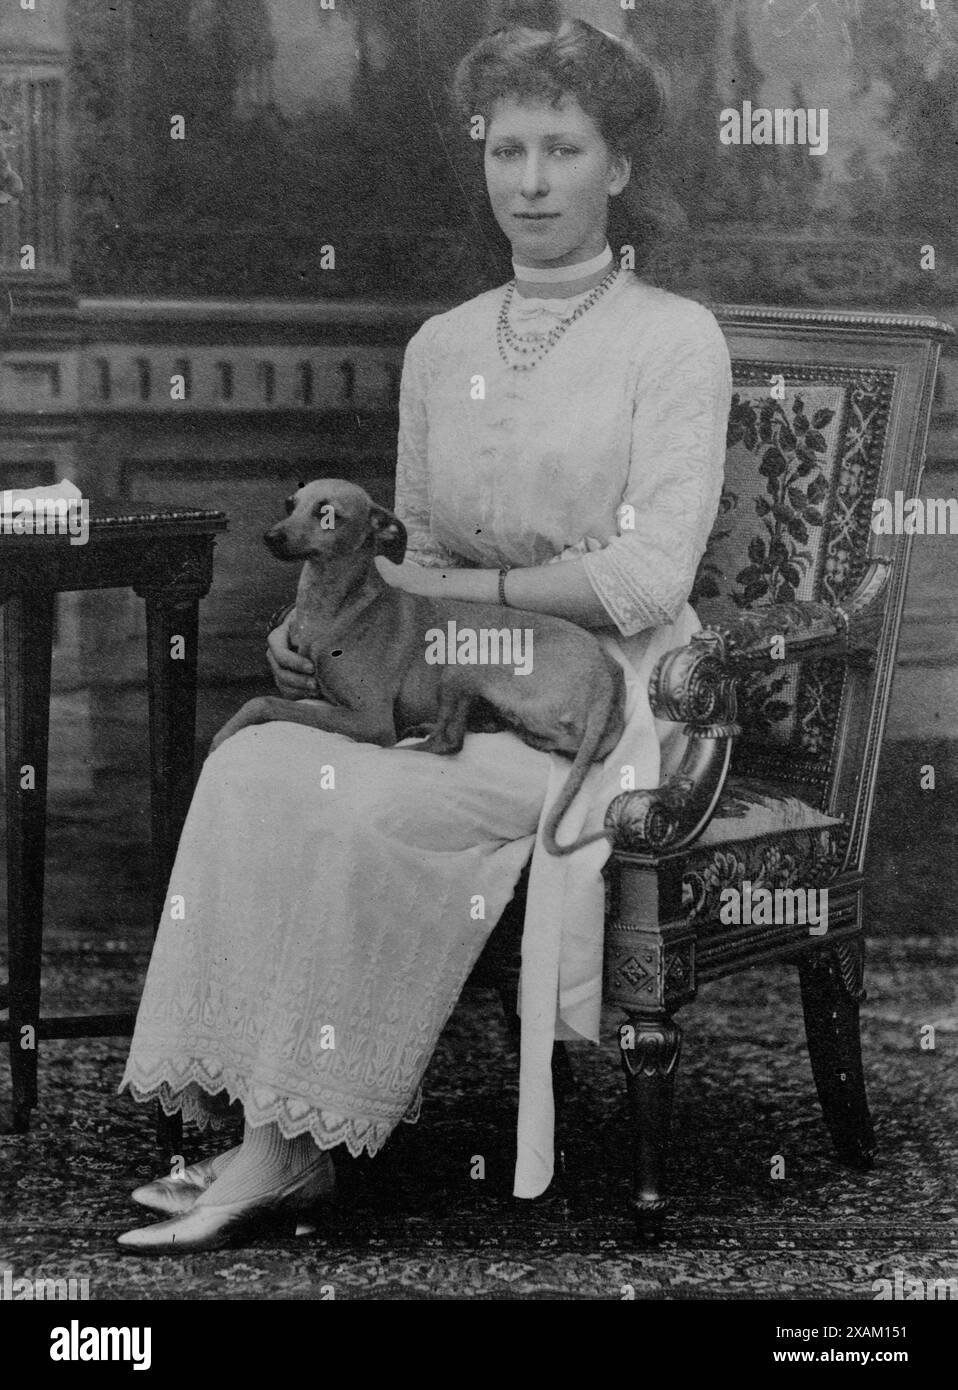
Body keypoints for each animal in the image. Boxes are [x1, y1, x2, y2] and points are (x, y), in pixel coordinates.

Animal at [211, 480, 628, 856]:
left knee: (448, 741)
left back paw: (404, 749)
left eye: (327, 513)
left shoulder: (371, 719)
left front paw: (222, 736)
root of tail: (606, 677)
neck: (336, 609)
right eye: (290, 504)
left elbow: (263, 702)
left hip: (466, 661)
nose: (270, 536)